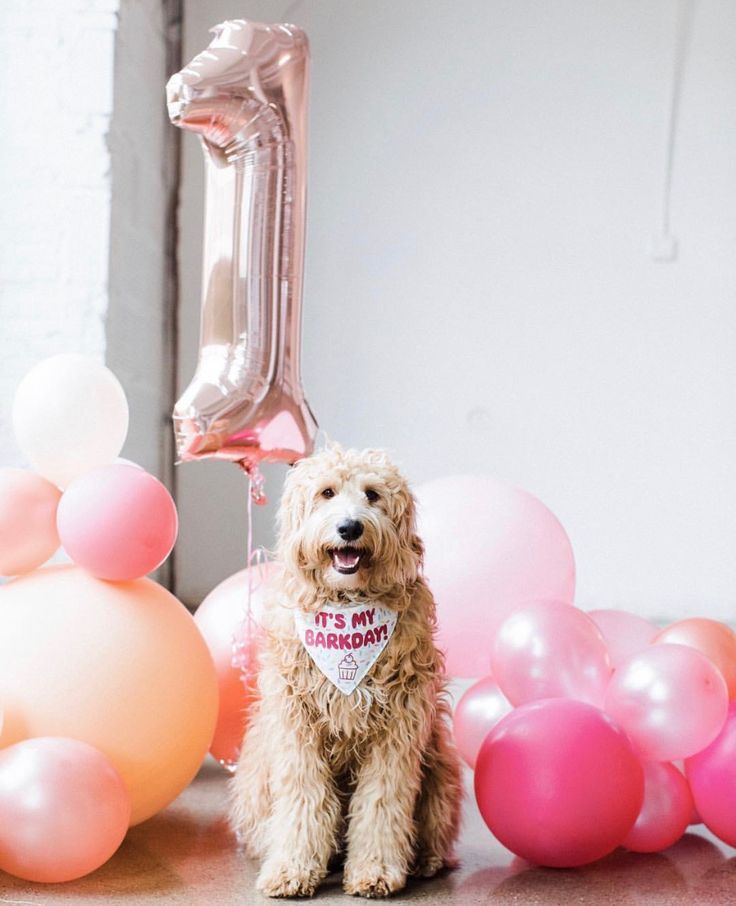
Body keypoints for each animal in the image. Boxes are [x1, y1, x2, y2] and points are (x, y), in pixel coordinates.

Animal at [230, 444, 460, 896]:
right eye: (327, 493)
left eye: (372, 494)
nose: (350, 527)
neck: (347, 604)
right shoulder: (296, 723)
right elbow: (303, 797)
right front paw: (292, 868)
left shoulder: (397, 728)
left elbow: (381, 801)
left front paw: (375, 870)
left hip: (440, 763)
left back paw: (425, 860)